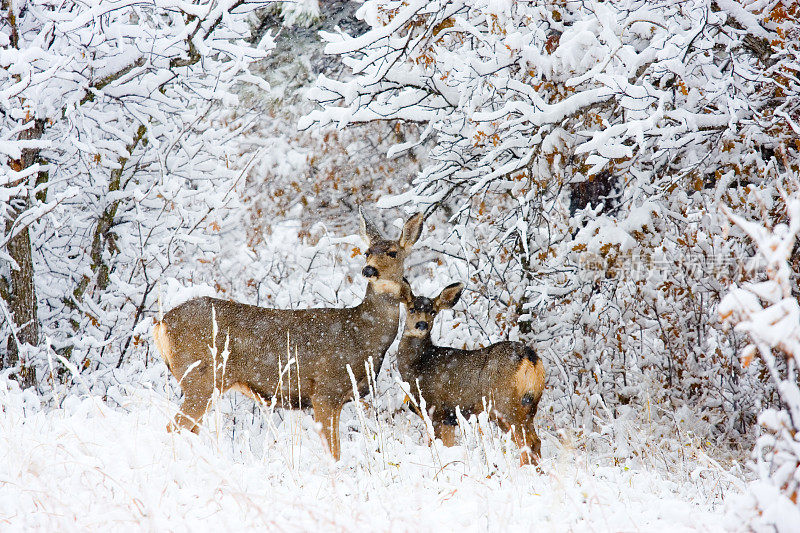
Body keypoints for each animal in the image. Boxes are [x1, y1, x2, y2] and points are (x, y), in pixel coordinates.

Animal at [152, 210, 424, 460]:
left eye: (393, 252)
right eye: (367, 252)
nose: (368, 270)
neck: (363, 335)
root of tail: (161, 324)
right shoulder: (325, 390)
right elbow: (333, 453)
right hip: (201, 378)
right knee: (171, 427)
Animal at [398, 282, 548, 462]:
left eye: (433, 311)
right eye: (412, 308)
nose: (421, 325)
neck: (417, 366)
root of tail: (530, 357)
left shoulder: (434, 410)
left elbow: (437, 446)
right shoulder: (449, 418)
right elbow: (449, 447)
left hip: (505, 404)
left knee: (527, 443)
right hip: (529, 407)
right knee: (535, 442)